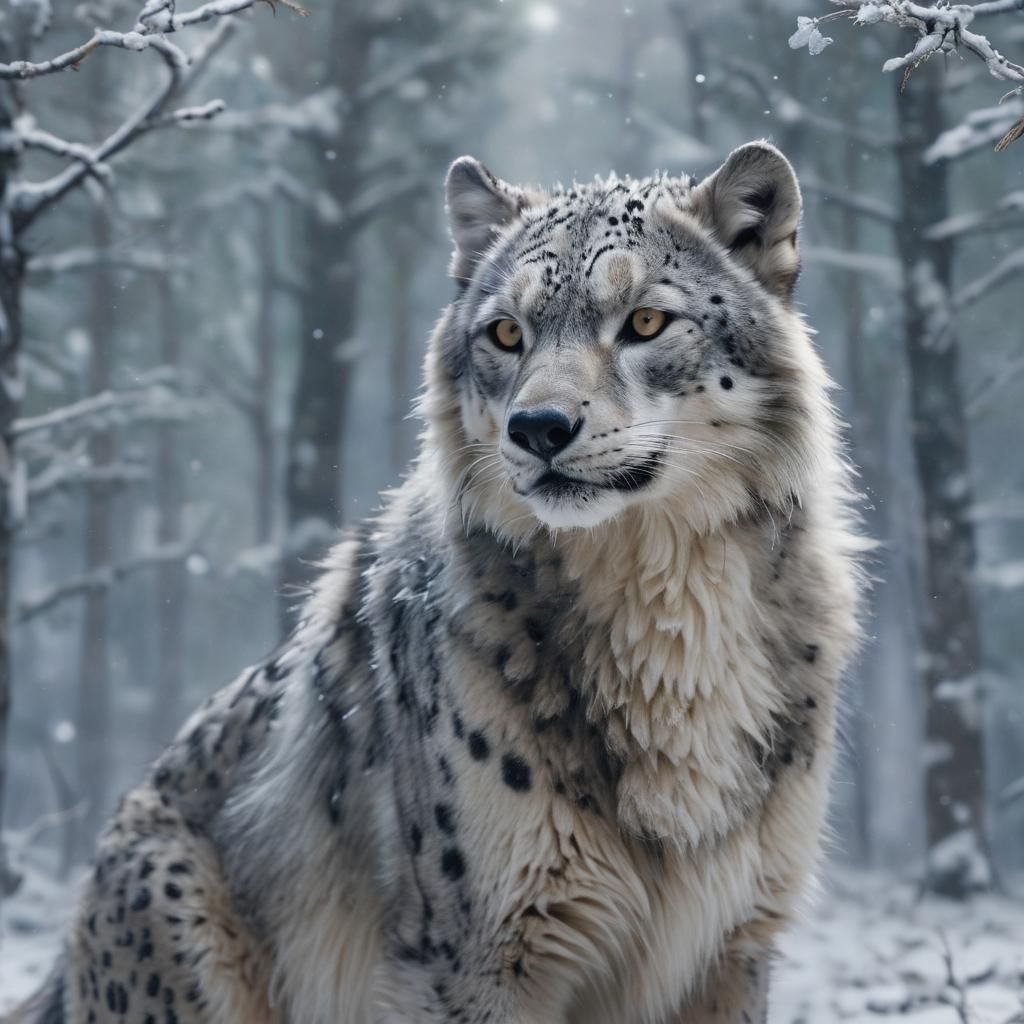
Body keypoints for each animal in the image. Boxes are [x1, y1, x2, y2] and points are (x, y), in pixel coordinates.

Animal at [8, 140, 865, 1023]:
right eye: (507, 332)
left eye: (646, 320)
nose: (539, 427)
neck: (666, 621)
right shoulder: (479, 954)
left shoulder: (732, 945)